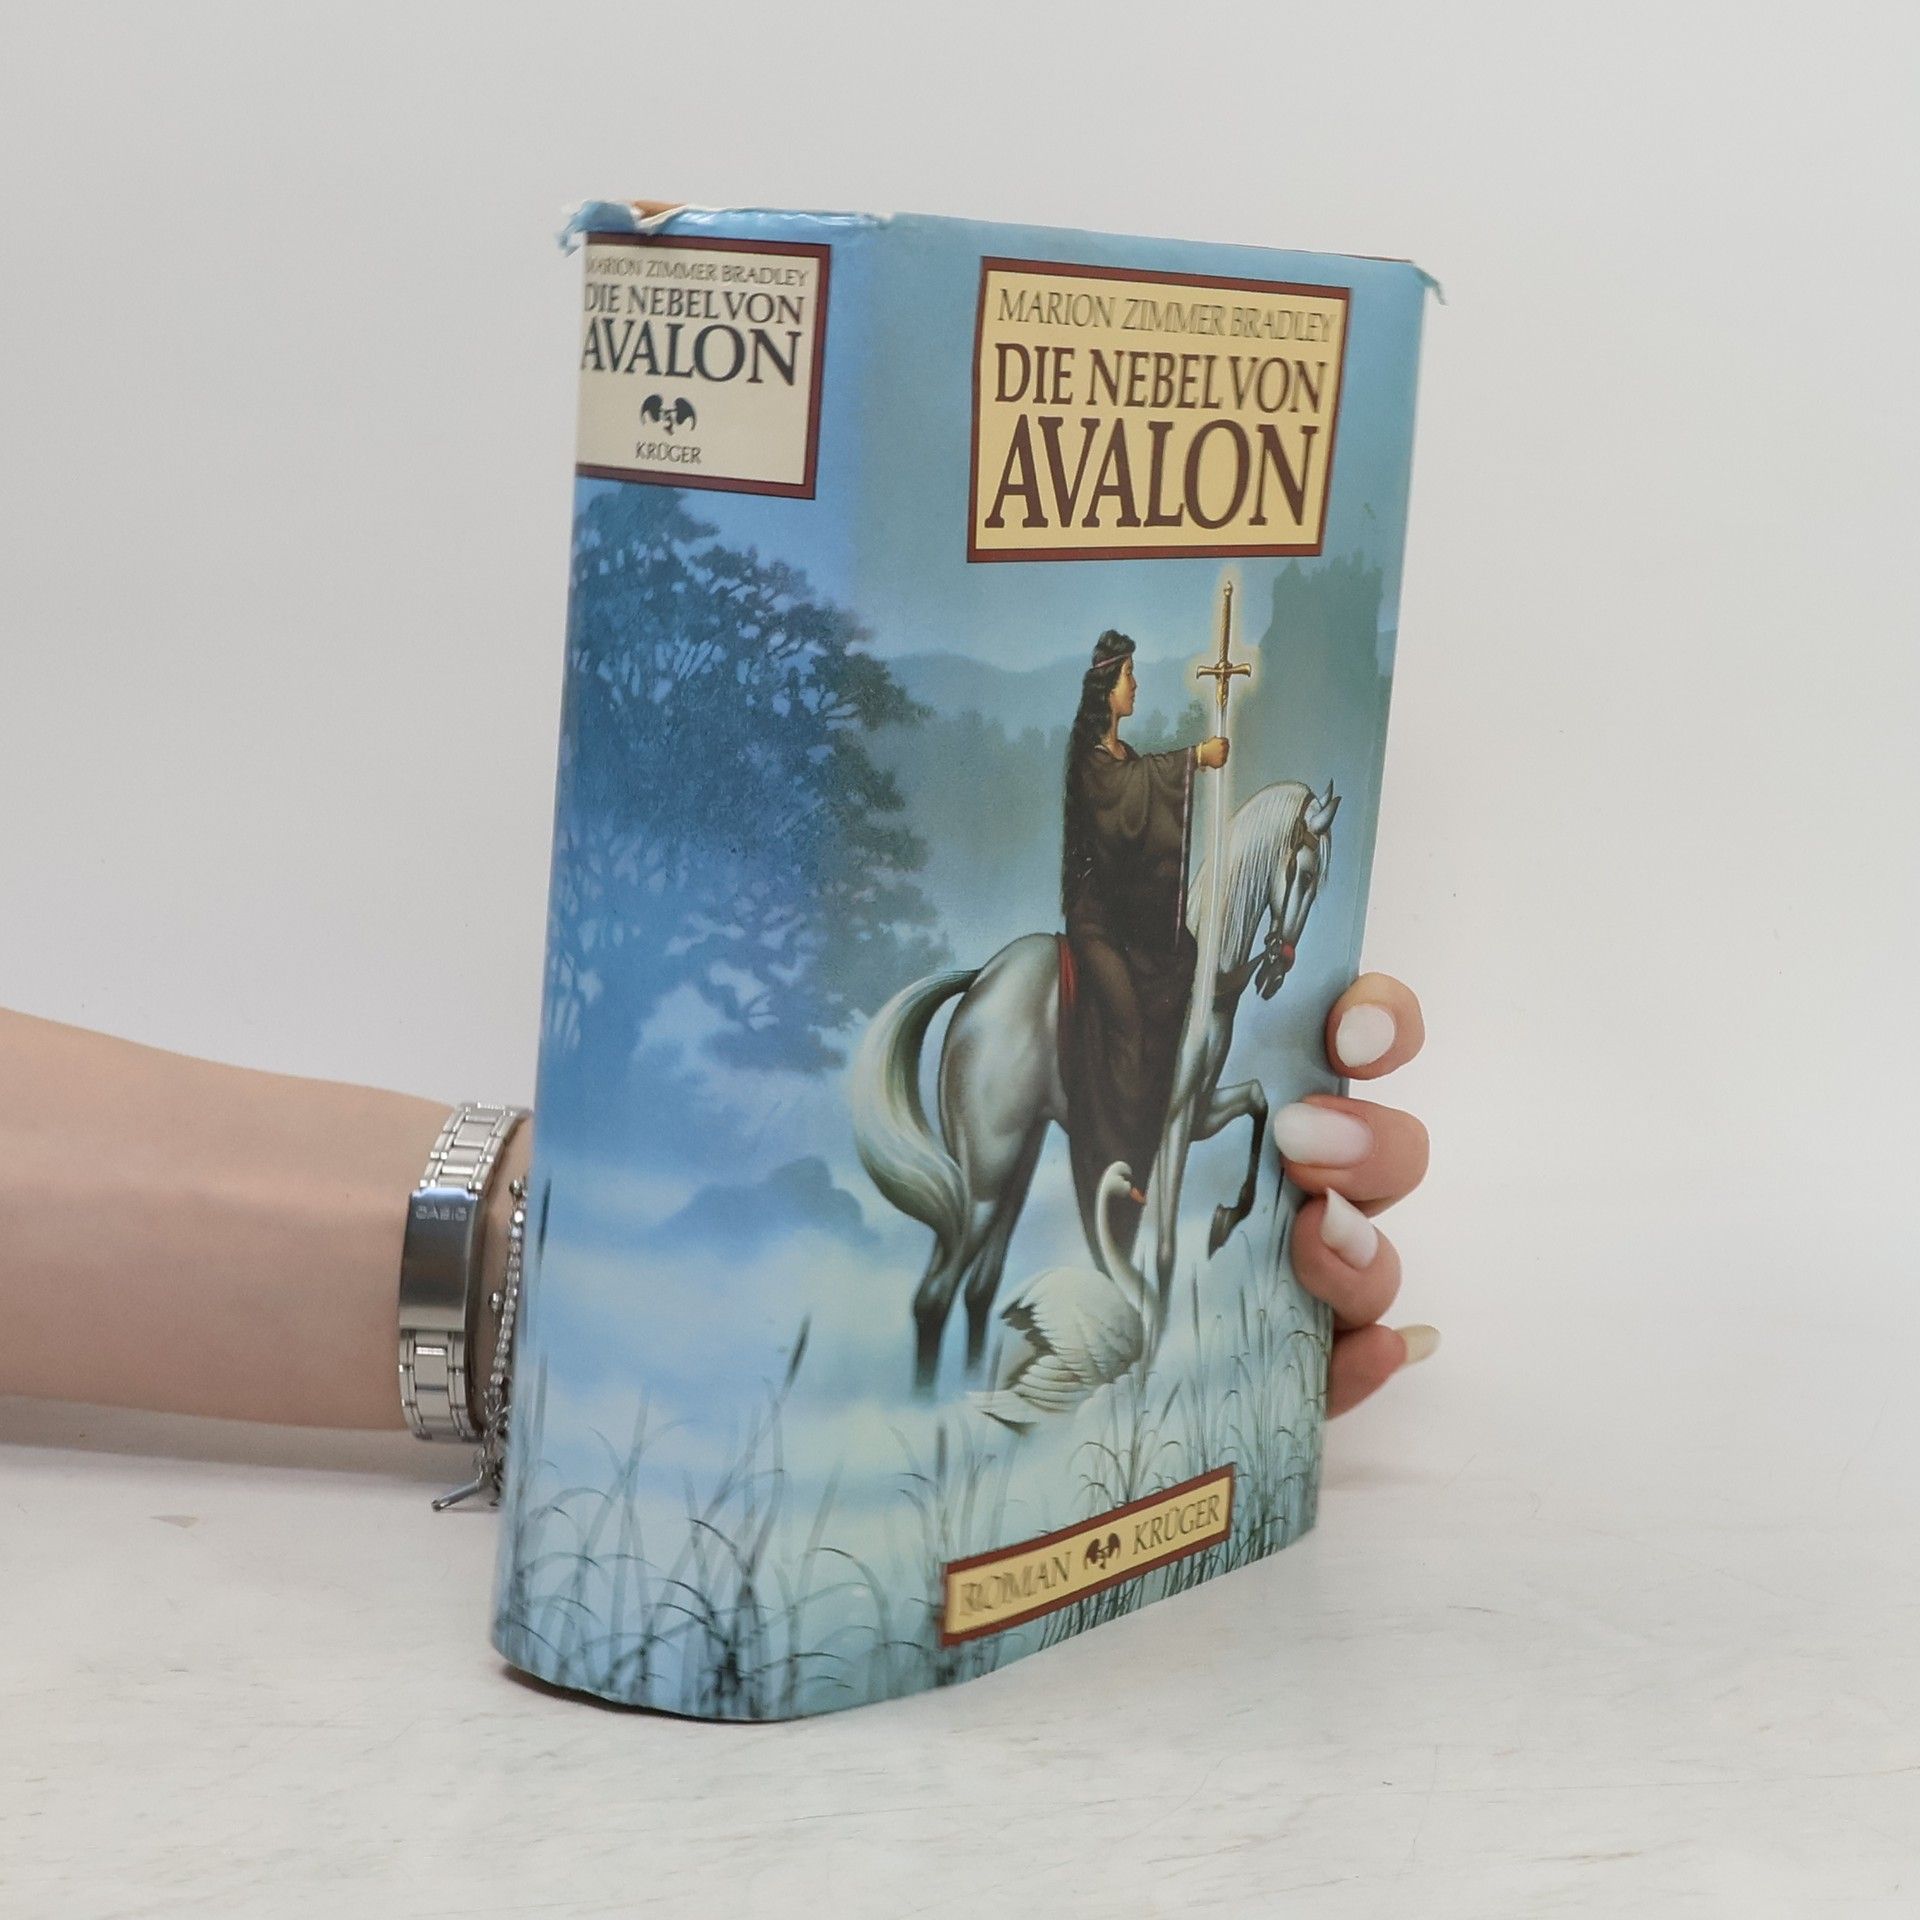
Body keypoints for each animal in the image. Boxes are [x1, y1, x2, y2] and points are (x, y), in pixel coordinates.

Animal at [850, 777, 1339, 1393]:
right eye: (1304, 875)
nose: (1276, 972)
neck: (1205, 980)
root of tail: (981, 984)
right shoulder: (1174, 1123)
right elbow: (1164, 1251)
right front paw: (1145, 1375)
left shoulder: (1201, 1111)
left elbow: (1258, 1100)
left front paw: (1225, 1221)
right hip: (984, 1176)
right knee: (934, 1295)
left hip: (1018, 1163)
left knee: (980, 1288)